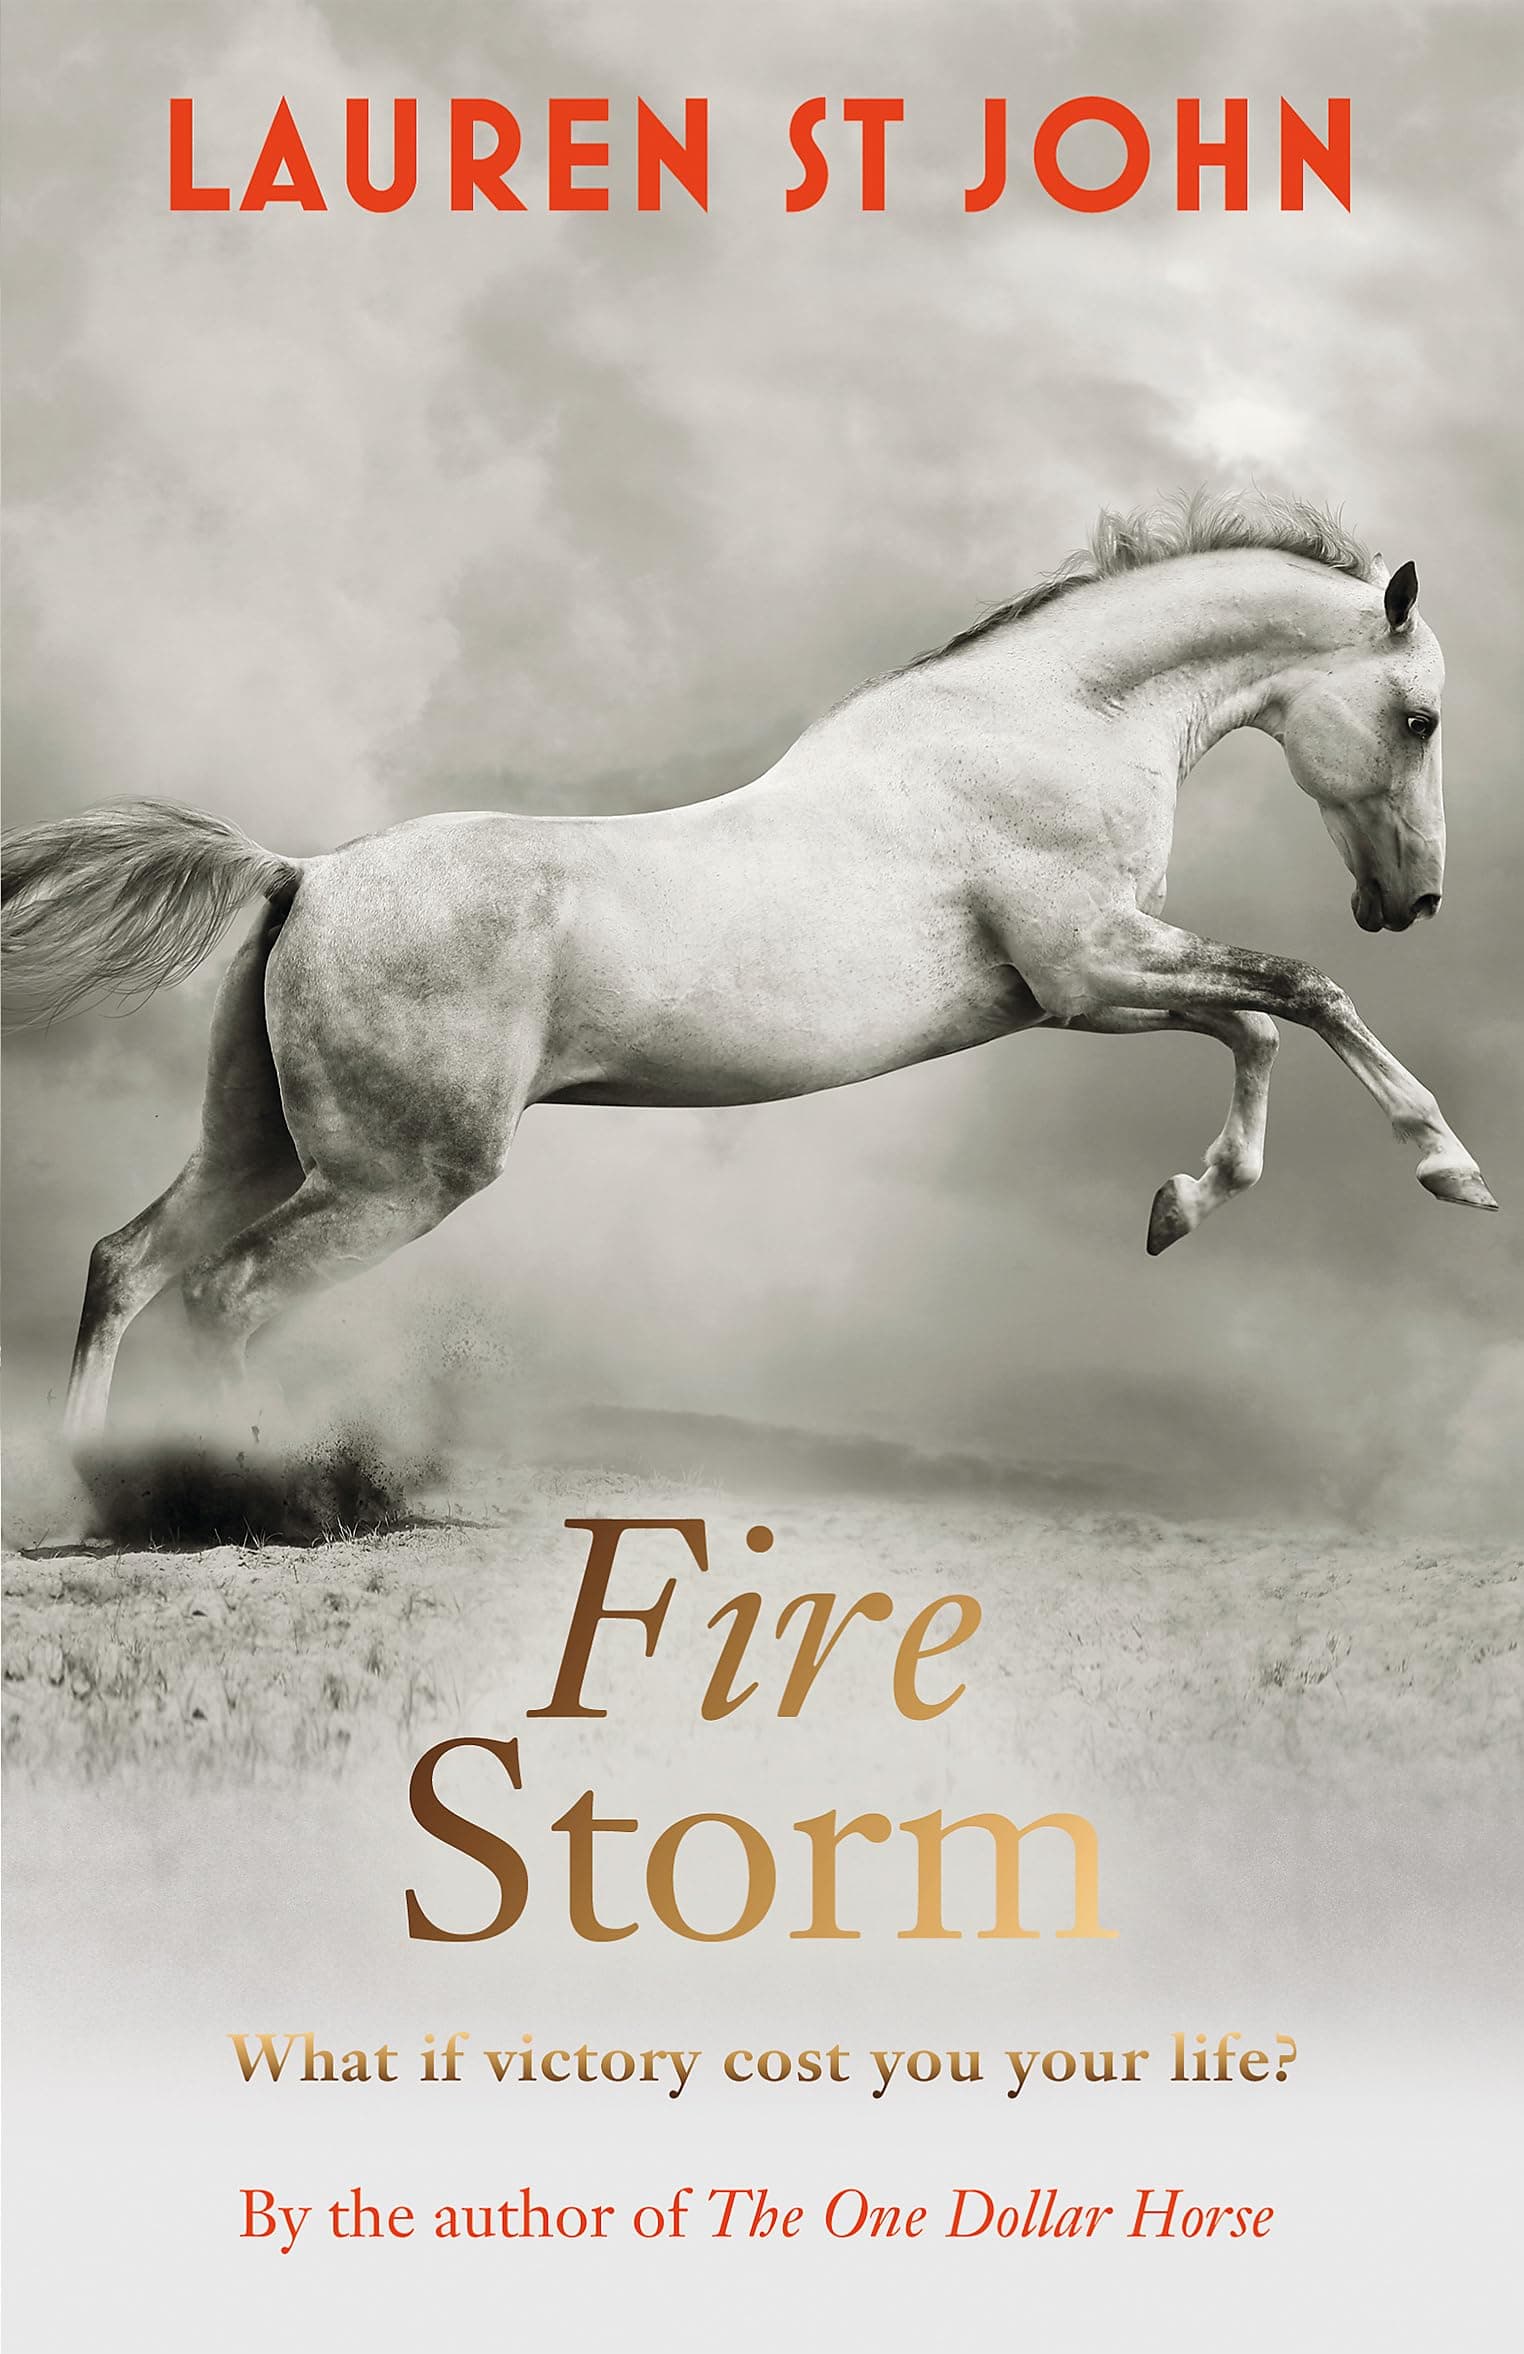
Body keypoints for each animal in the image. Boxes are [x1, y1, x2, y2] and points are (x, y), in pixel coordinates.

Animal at [0, 490, 1496, 1461]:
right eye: (1420, 717)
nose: (1412, 901)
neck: (1052, 721)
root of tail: (303, 873)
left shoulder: (1089, 986)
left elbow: (1259, 1027)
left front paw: (1178, 1206)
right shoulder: (1091, 961)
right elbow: (1301, 992)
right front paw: (1451, 1168)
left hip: (258, 1142)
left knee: (126, 1264)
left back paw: (91, 1494)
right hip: (396, 1175)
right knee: (224, 1296)